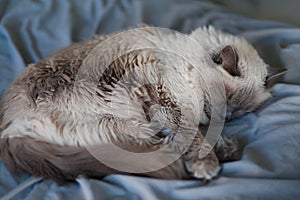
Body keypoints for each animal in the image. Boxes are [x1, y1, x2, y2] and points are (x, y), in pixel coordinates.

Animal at [0, 25, 284, 184]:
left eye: (239, 113)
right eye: (226, 100)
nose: (227, 116)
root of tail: (8, 132)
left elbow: (202, 133)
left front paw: (220, 144)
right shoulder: (167, 100)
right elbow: (193, 135)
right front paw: (206, 165)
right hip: (125, 112)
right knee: (157, 149)